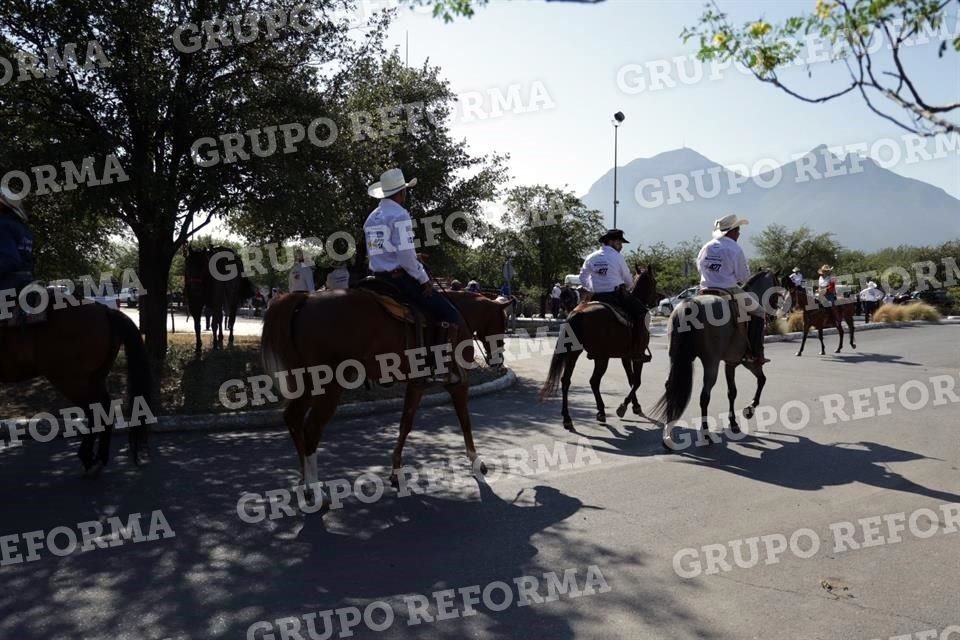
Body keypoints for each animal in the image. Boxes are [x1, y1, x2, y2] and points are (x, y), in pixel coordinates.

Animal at [0, 296, 150, 476]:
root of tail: (105, 310)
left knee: (96, 410)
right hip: (94, 378)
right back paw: (97, 459)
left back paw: (88, 459)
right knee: (103, 408)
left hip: (70, 380)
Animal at [260, 288, 488, 492]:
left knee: (293, 418)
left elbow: (405, 424)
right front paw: (476, 461)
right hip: (329, 384)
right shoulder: (458, 383)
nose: (495, 358)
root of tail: (305, 298)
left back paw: (304, 482)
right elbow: (465, 421)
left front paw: (396, 471)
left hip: (306, 383)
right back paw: (315, 490)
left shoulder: (416, 384)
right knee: (312, 428)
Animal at [540, 264, 660, 430]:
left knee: (568, 381)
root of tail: (577, 314)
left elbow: (631, 379)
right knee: (594, 381)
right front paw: (624, 407)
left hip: (576, 353)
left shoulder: (625, 357)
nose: (657, 300)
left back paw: (569, 418)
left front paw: (635, 406)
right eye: (654, 282)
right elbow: (637, 381)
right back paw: (600, 411)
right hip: (602, 358)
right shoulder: (638, 356)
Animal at [648, 270, 784, 450]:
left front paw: (733, 423)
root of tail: (689, 305)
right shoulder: (749, 363)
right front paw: (750, 408)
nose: (774, 317)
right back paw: (706, 434)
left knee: (670, 387)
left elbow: (732, 392)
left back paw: (667, 434)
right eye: (776, 292)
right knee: (704, 396)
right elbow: (762, 380)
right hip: (711, 363)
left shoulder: (730, 363)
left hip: (675, 358)